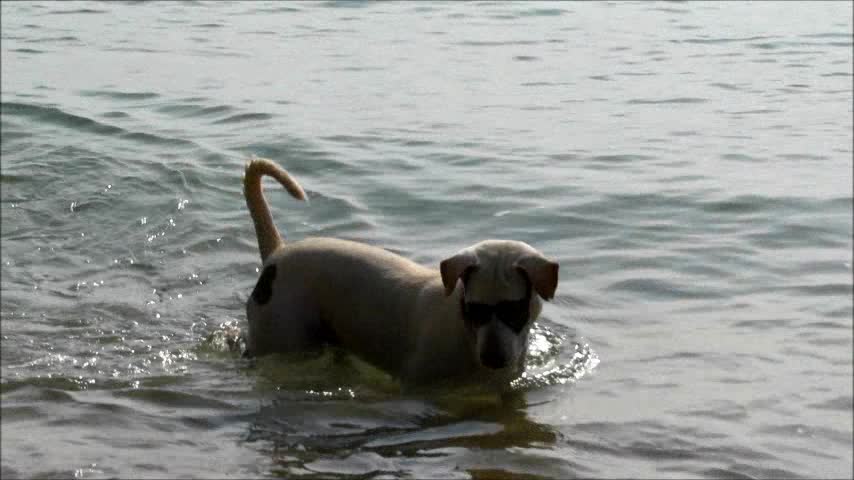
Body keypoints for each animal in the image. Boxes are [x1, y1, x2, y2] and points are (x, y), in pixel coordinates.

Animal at [242, 158, 560, 386]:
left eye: (514, 309)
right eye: (474, 309)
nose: (493, 358)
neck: (464, 334)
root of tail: (277, 253)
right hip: (279, 336)